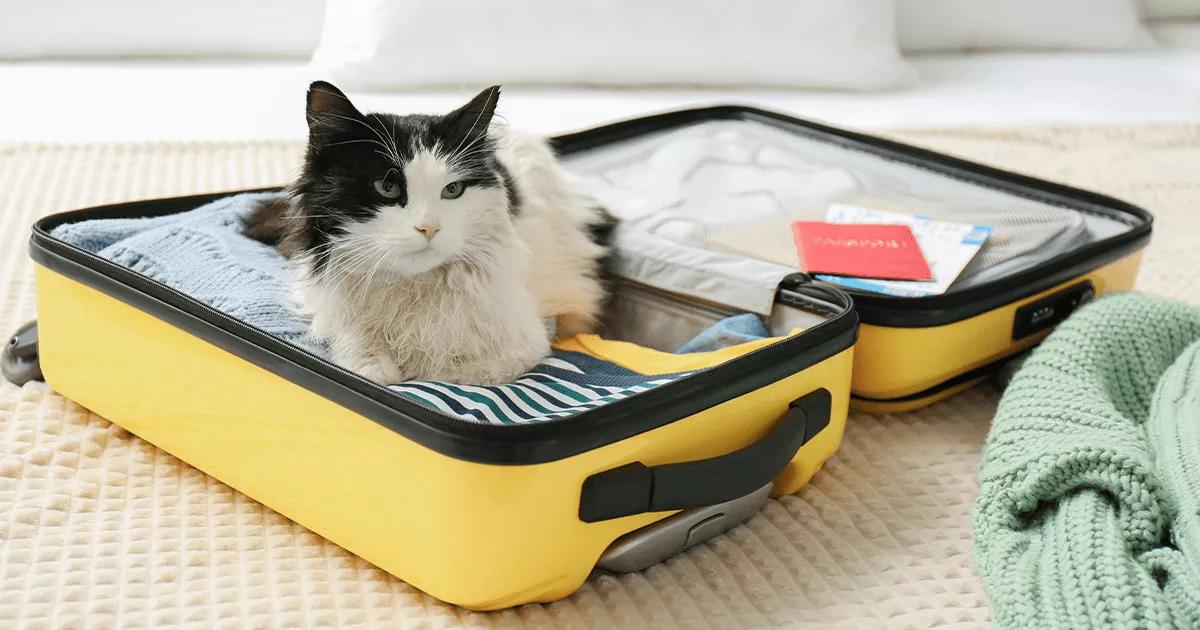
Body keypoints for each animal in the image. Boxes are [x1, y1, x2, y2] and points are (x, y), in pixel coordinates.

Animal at [253, 81, 609, 386]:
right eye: (387, 187)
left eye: (452, 190)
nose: (429, 227)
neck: (413, 287)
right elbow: (363, 359)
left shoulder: (524, 342)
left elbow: (453, 371)